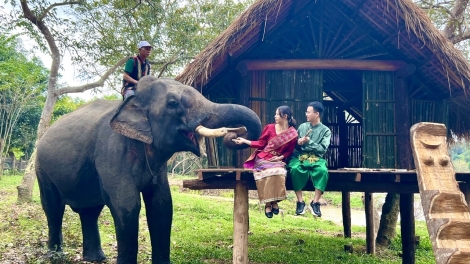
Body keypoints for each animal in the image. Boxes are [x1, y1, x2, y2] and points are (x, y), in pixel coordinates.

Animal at [36, 75, 262, 262]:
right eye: (173, 103)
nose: (237, 134)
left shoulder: (157, 168)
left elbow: (162, 205)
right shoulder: (111, 152)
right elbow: (127, 205)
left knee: (90, 211)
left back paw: (96, 259)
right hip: (42, 169)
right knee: (53, 208)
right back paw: (55, 257)